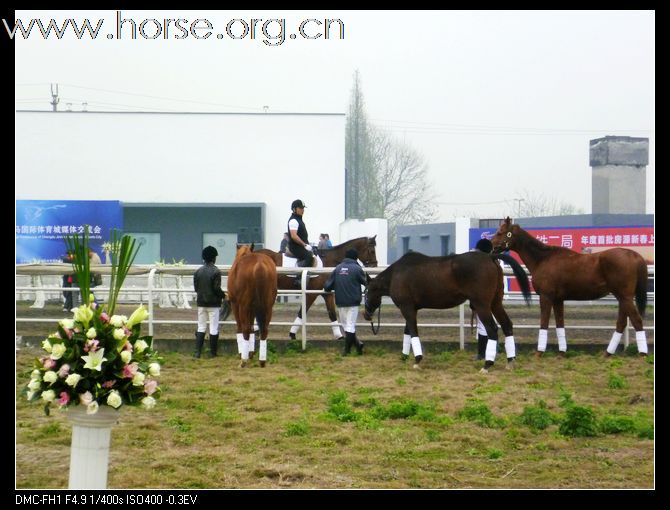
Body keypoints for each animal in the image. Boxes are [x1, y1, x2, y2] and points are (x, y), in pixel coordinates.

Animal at [364, 250, 532, 370]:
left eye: (366, 292)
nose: (366, 315)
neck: (396, 274)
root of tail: (490, 257)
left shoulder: (407, 308)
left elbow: (413, 331)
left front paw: (417, 359)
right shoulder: (411, 309)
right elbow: (408, 332)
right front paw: (404, 357)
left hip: (482, 305)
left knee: (492, 329)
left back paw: (487, 364)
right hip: (495, 303)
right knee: (507, 325)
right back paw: (510, 361)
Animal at [494, 217, 652, 356]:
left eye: (500, 232)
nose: (491, 246)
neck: (544, 259)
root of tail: (634, 255)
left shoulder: (546, 297)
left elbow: (544, 323)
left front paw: (539, 352)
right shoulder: (558, 300)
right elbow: (560, 324)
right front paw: (562, 352)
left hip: (625, 297)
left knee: (637, 320)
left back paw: (642, 354)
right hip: (622, 298)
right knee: (622, 323)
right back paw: (607, 353)